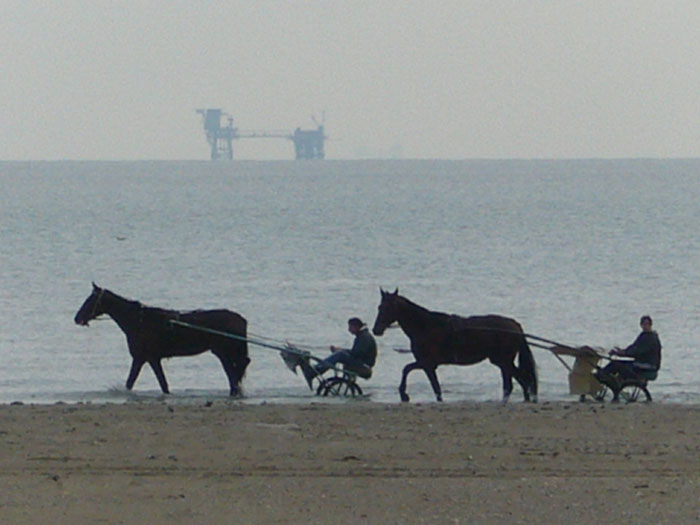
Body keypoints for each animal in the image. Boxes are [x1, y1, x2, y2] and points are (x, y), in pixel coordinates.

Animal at [73, 284, 249, 396]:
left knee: (233, 376)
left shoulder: (145, 358)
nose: (77, 318)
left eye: (90, 300)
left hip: (224, 353)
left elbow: (138, 381)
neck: (140, 322)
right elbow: (154, 383)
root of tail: (240, 319)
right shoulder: (148, 359)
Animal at [372, 288, 536, 404]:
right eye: (379, 307)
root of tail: (515, 326)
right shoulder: (427, 364)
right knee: (515, 382)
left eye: (388, 307)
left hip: (503, 361)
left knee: (520, 380)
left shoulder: (427, 363)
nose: (376, 330)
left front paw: (404, 394)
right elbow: (431, 384)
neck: (425, 327)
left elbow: (412, 372)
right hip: (502, 362)